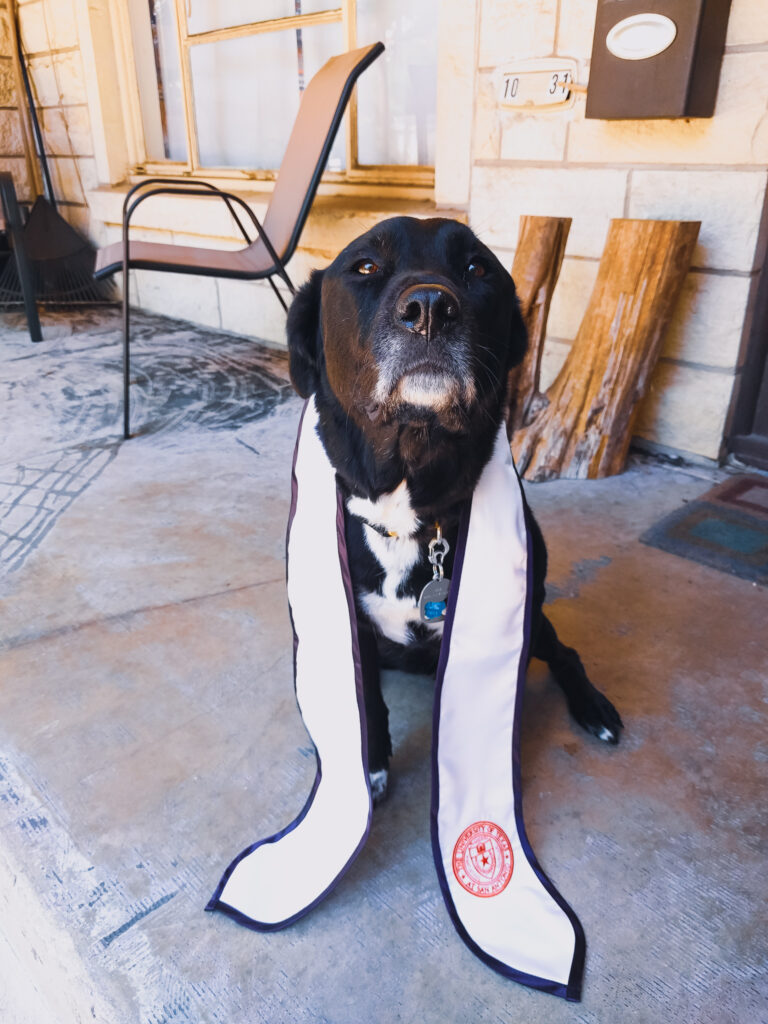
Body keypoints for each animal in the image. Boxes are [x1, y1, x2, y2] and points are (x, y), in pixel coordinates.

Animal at [286, 216, 622, 802]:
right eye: (365, 266)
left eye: (476, 268)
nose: (429, 308)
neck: (407, 510)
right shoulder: (351, 629)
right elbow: (367, 702)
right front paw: (370, 767)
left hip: (537, 618)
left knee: (565, 654)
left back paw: (594, 708)